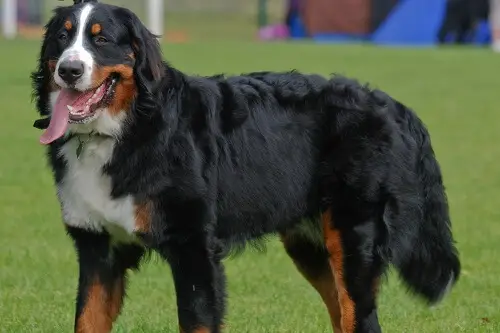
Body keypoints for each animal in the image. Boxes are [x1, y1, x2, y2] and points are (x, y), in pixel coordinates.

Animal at [30, 0, 460, 332]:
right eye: (62, 38)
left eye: (100, 39)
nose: (68, 70)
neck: (126, 129)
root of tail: (390, 103)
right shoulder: (98, 248)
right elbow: (87, 320)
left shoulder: (194, 248)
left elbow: (198, 321)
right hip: (310, 244)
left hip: (353, 237)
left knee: (360, 318)